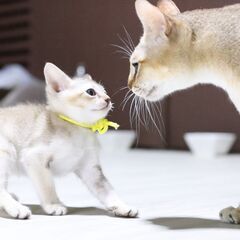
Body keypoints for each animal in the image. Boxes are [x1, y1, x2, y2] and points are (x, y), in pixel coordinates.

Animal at [0, 62, 138, 219]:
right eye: (91, 92)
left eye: (105, 91)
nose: (108, 99)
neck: (79, 131)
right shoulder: (34, 157)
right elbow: (47, 186)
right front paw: (53, 205)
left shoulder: (90, 169)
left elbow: (107, 190)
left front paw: (122, 206)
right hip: (6, 150)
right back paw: (16, 208)